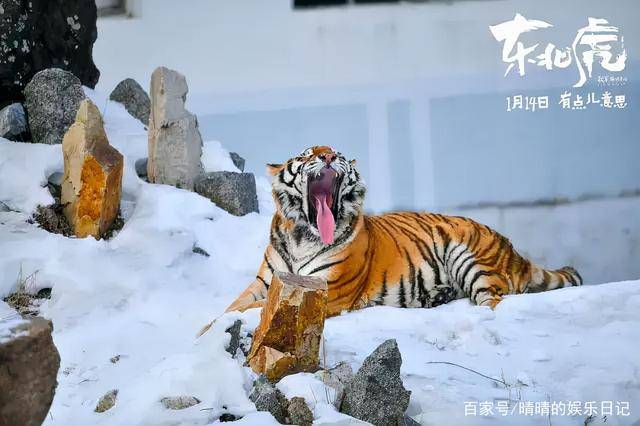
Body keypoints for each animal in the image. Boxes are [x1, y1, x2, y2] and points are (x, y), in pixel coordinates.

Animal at [226, 145, 582, 317]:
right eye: (307, 155)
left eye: (338, 154)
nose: (327, 156)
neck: (303, 235)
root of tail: (513, 250)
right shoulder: (265, 282)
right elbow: (234, 306)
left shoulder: (326, 289)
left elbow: (253, 308)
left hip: (469, 257)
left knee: (493, 301)